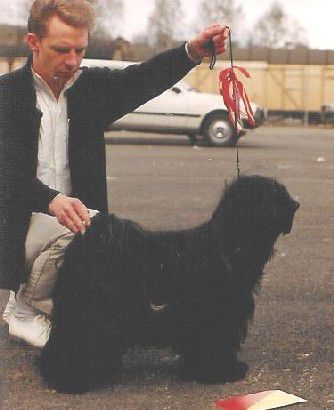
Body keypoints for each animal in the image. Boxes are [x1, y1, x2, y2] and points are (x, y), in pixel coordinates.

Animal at [39, 175, 300, 392]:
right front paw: (223, 372)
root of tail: (90, 241)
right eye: (274, 195)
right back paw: (71, 381)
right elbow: (215, 347)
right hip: (92, 316)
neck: (228, 243)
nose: (296, 204)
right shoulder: (216, 318)